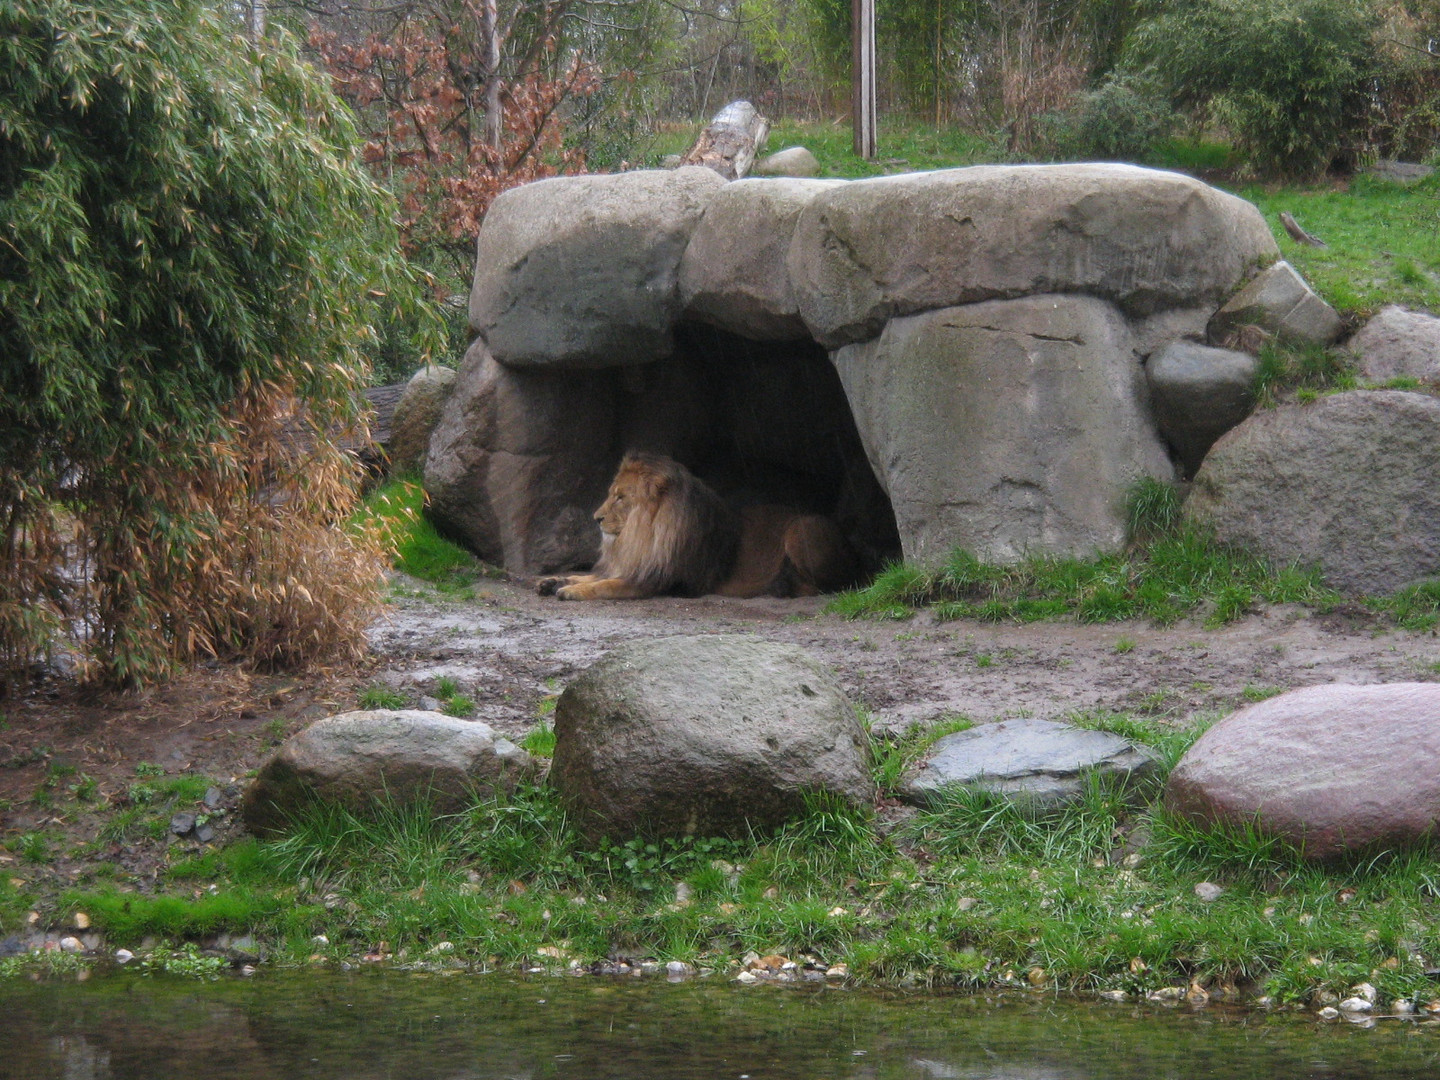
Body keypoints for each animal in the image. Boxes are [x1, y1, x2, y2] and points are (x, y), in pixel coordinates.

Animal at [538, 455, 852, 601]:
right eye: (610, 494)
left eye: (621, 497)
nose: (596, 518)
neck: (639, 537)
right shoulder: (633, 565)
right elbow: (589, 575)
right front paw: (554, 581)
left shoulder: (657, 580)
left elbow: (605, 585)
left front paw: (571, 591)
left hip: (801, 528)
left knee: (824, 586)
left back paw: (781, 587)